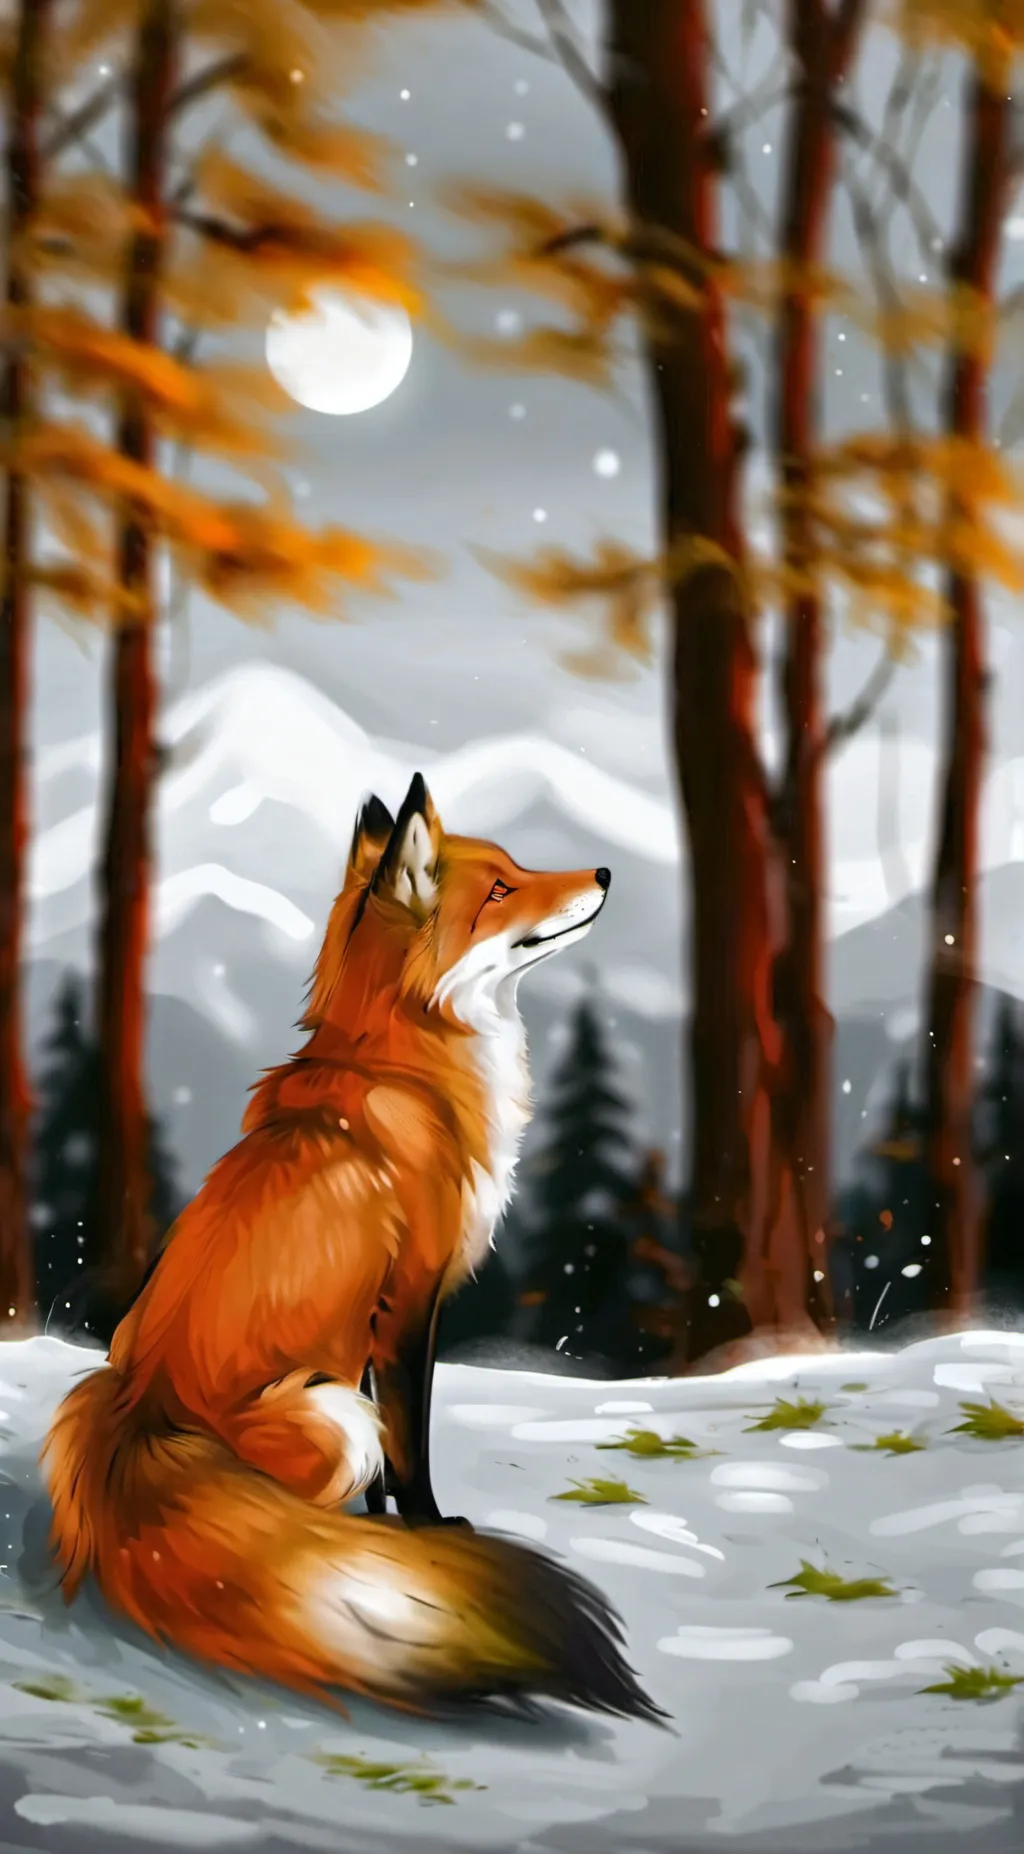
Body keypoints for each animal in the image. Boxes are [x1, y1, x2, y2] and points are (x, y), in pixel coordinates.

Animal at [42, 774, 662, 1724]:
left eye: (517, 866)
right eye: (501, 889)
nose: (601, 871)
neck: (407, 1066)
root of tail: (135, 1419)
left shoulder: (368, 1326)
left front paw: (390, 1534)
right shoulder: (407, 1302)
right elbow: (412, 1450)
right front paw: (430, 1533)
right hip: (329, 1415)